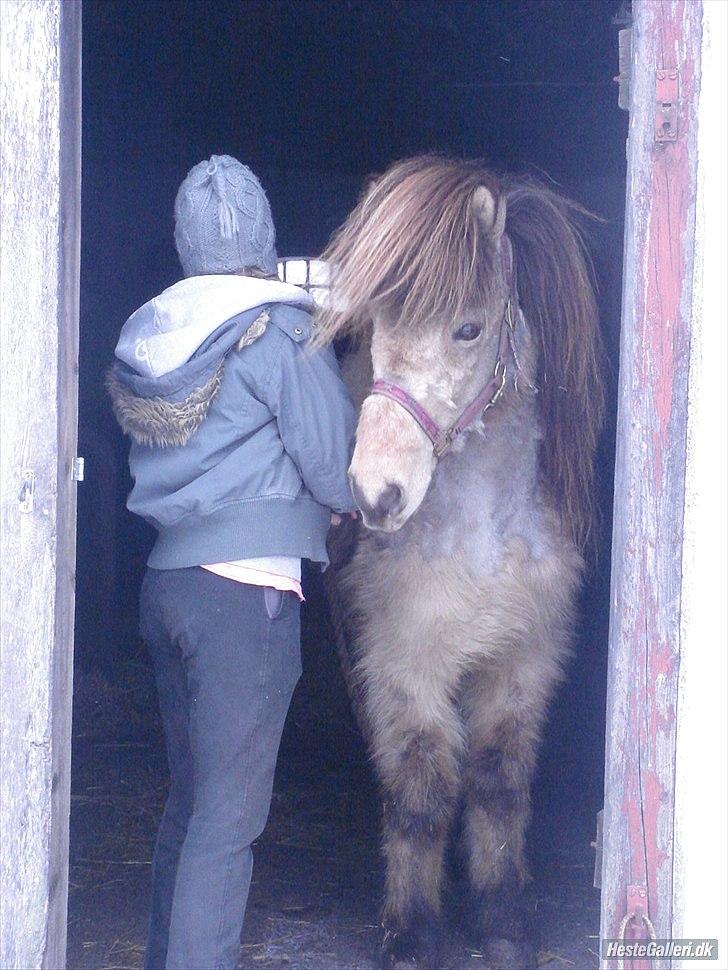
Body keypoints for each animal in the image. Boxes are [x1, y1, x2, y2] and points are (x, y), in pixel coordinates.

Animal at [316, 155, 604, 964]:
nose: (375, 492)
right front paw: (413, 929)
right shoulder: (406, 661)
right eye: (375, 326)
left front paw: (503, 915)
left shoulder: (525, 660)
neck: (481, 530)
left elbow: (497, 780)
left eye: (468, 329)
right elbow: (422, 789)